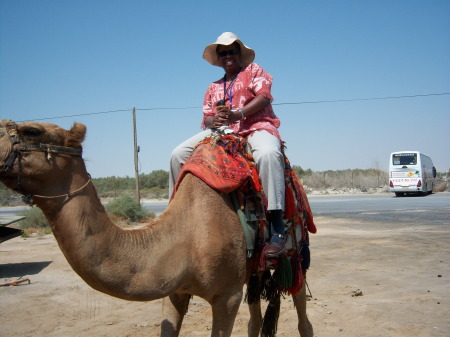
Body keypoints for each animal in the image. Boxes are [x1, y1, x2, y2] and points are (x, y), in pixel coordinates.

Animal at [0, 119, 312, 334]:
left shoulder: (227, 295)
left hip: (295, 256)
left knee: (302, 317)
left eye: (32, 131)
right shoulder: (174, 289)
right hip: (253, 269)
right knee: (255, 320)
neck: (189, 235)